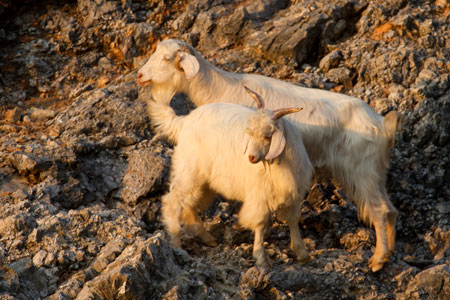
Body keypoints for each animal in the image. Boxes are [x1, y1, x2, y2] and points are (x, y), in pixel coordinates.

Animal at [148, 86, 312, 268]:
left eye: (268, 136)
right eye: (249, 132)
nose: (251, 157)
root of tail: (183, 121)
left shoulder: (294, 193)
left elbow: (293, 220)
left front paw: (302, 252)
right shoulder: (259, 194)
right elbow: (260, 224)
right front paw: (261, 258)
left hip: (204, 181)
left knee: (189, 205)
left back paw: (207, 238)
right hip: (189, 171)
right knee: (173, 201)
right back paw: (176, 243)